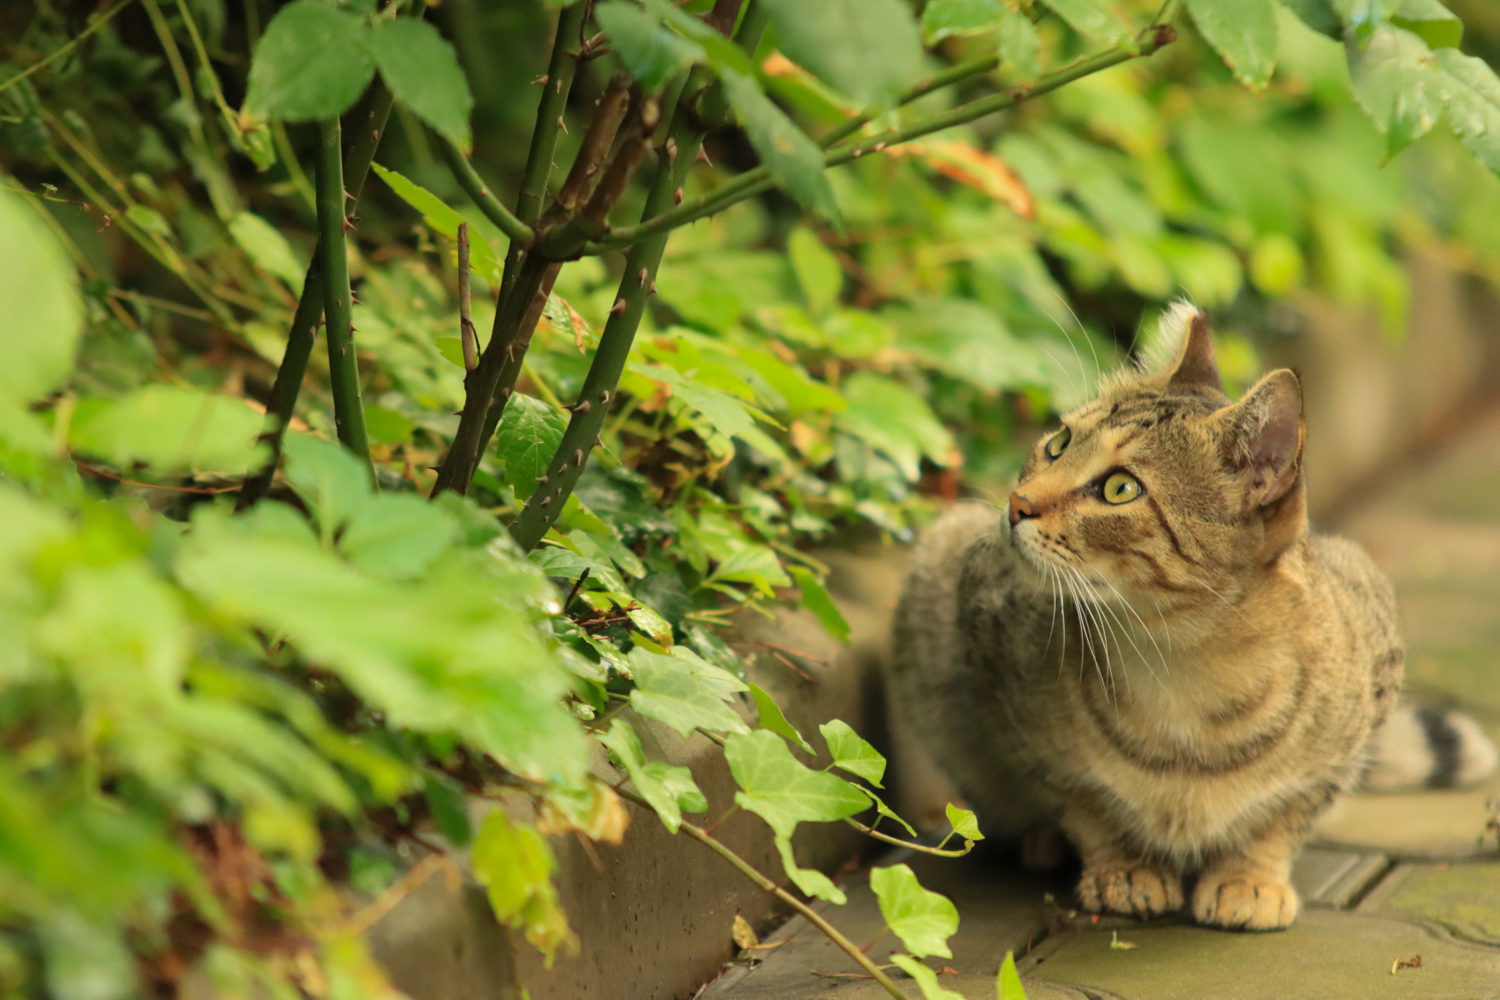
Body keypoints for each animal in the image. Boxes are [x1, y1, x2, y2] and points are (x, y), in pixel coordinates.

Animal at [888, 305, 1488, 929]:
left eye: (1120, 488)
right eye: (1059, 442)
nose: (1015, 503)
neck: (1180, 665)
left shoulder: (1354, 709)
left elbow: (1286, 816)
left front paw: (1251, 876)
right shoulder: (1012, 699)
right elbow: (1082, 801)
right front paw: (1123, 866)